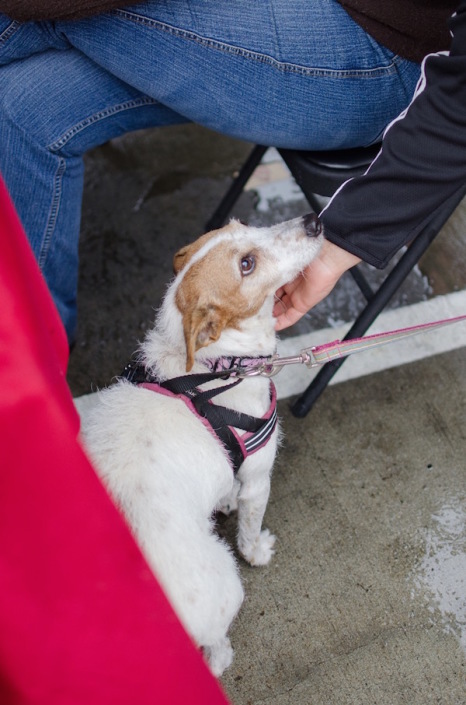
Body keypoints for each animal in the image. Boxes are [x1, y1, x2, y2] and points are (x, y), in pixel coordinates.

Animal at [78, 212, 322, 672]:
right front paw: (257, 550)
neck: (218, 365)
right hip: (225, 586)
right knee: (217, 650)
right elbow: (249, 527)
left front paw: (223, 499)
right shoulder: (258, 478)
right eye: (246, 264)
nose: (314, 220)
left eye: (243, 223)